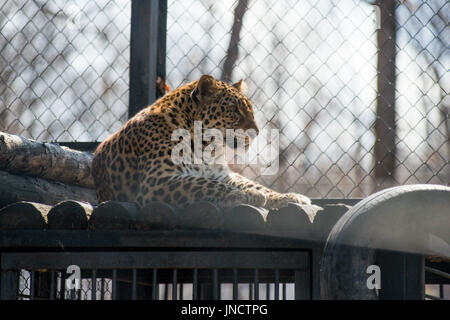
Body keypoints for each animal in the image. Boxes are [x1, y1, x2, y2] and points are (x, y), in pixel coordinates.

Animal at [91, 74, 310, 210]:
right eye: (235, 111)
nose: (257, 131)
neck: (207, 148)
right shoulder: (157, 180)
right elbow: (206, 184)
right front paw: (249, 196)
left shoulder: (222, 174)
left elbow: (255, 185)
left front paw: (290, 197)